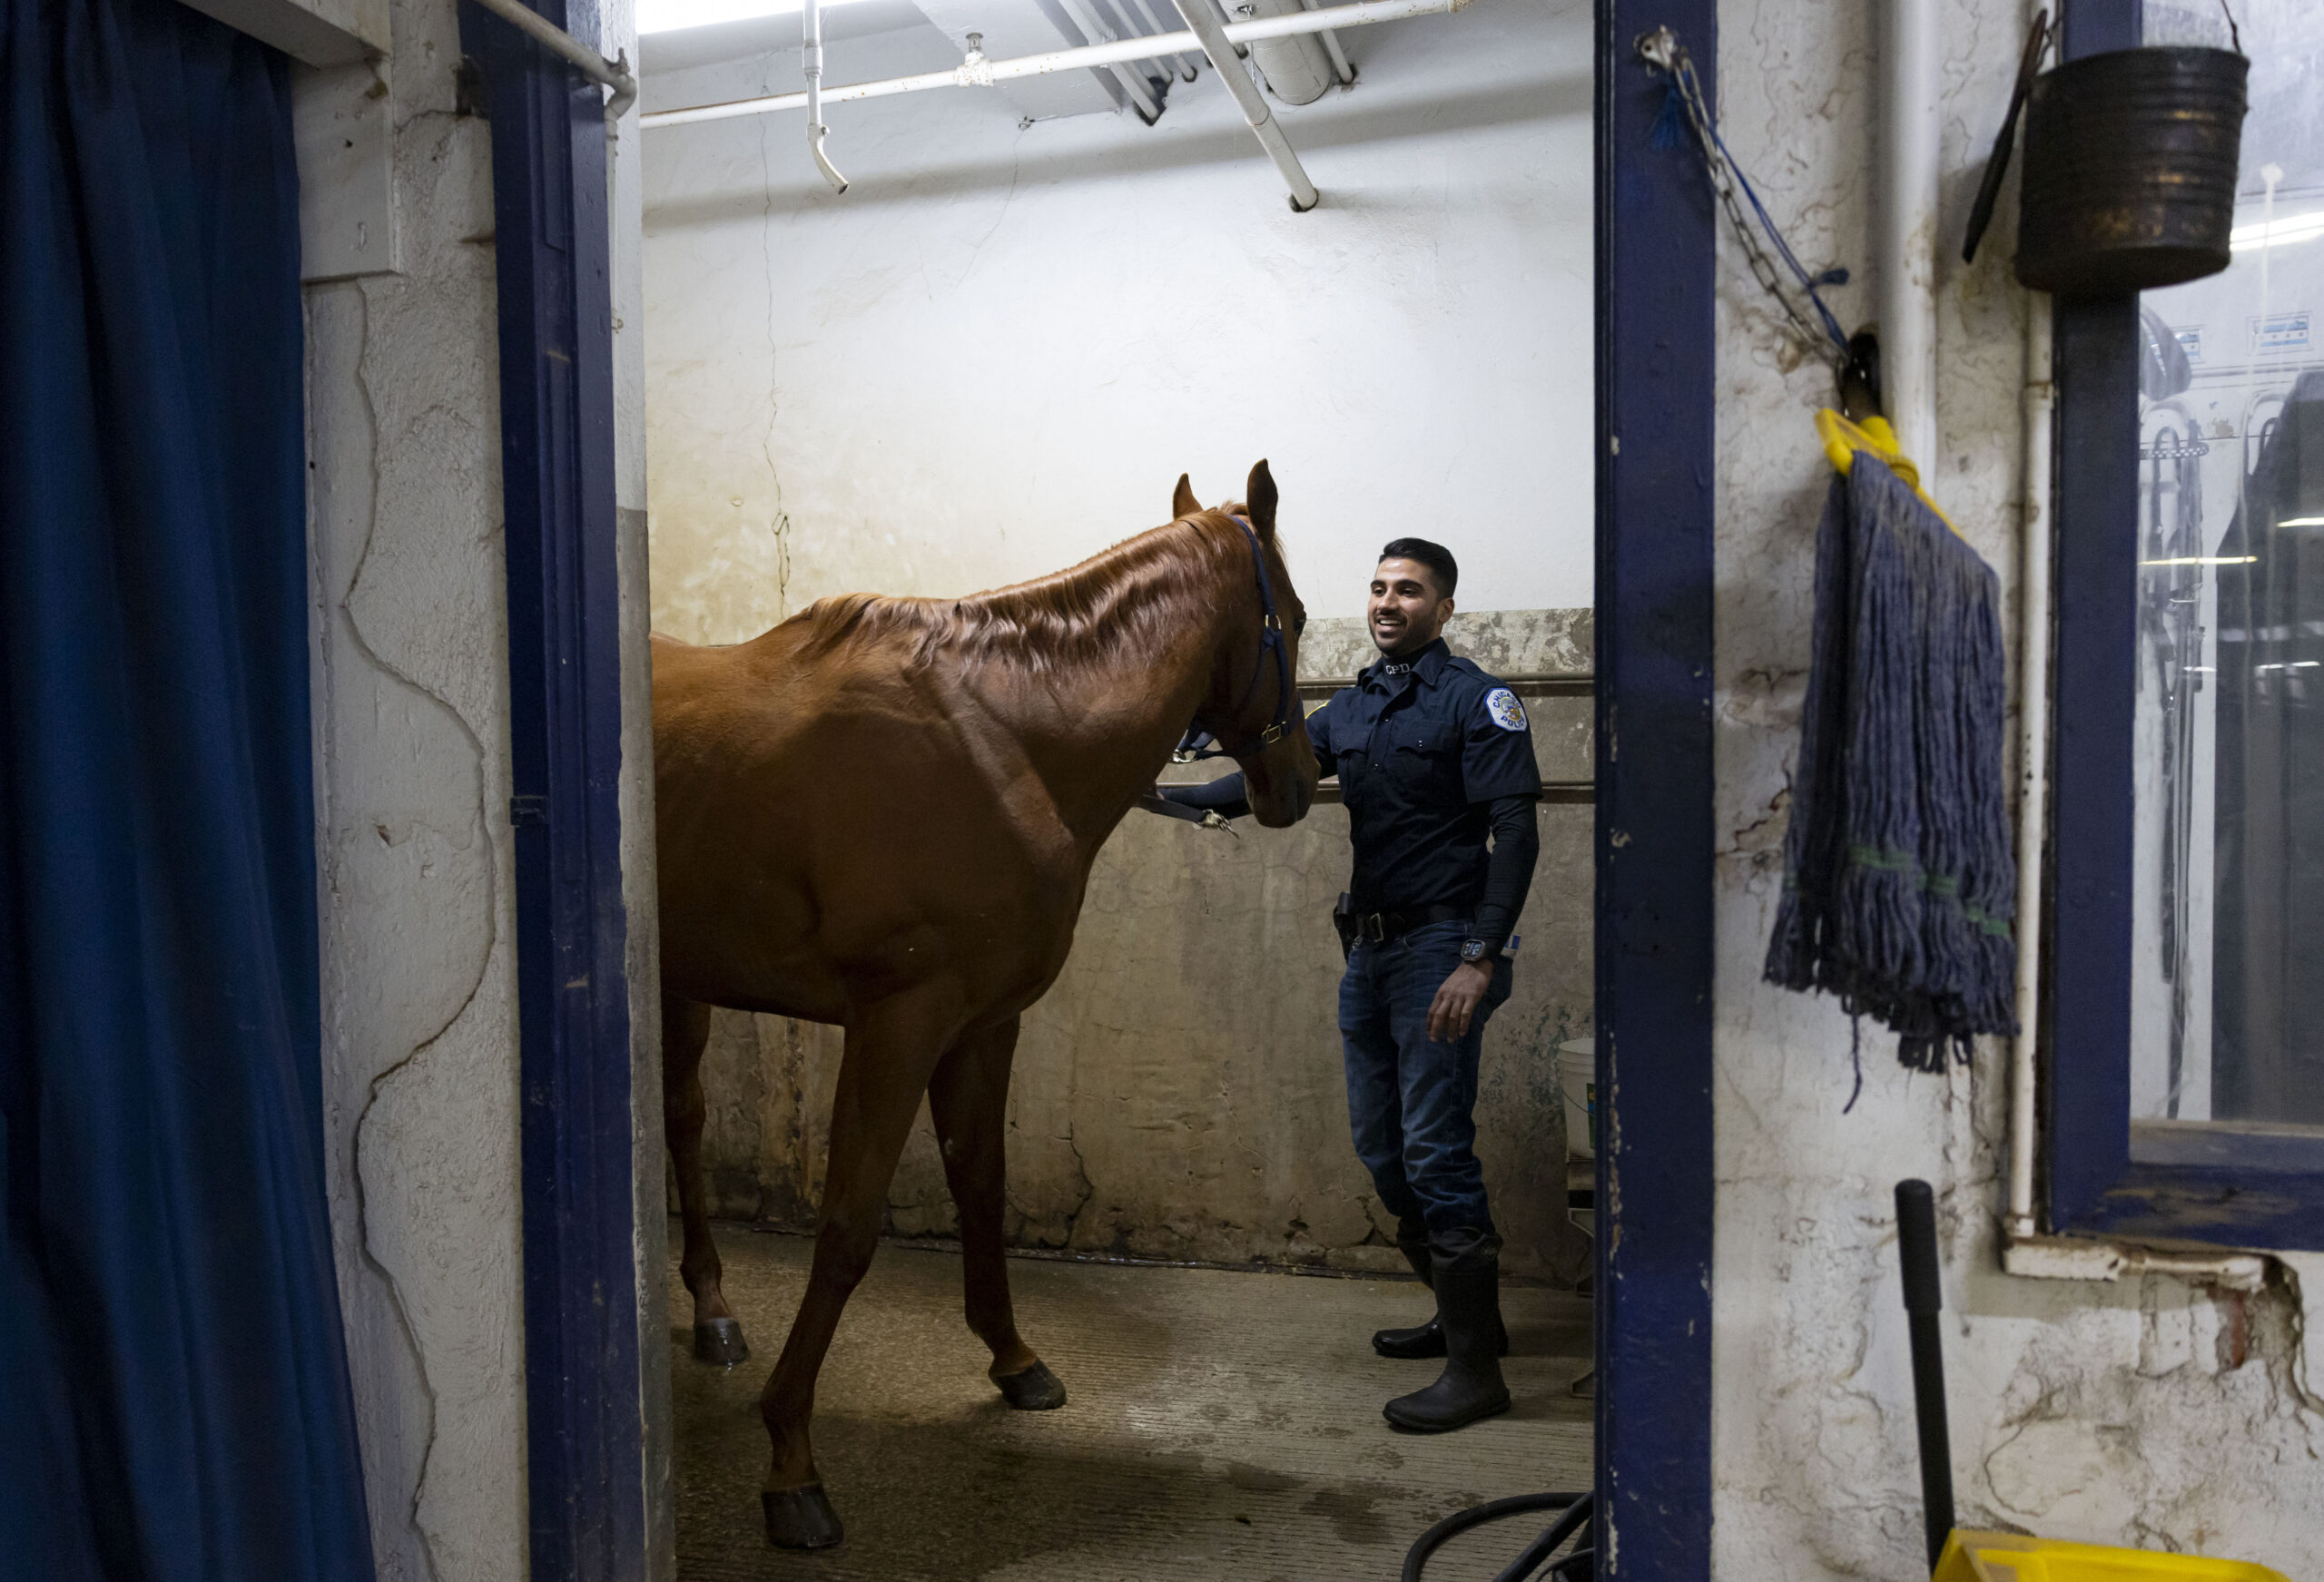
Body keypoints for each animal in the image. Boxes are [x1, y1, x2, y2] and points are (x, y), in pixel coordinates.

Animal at [650, 457, 1329, 1542]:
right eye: (1296, 615)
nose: (1298, 782)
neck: (1007, 742)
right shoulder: (898, 1022)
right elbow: (848, 1224)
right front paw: (791, 1458)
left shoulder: (984, 1024)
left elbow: (982, 1184)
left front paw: (1014, 1358)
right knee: (684, 1125)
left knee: (680, 1123)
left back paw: (714, 1314)